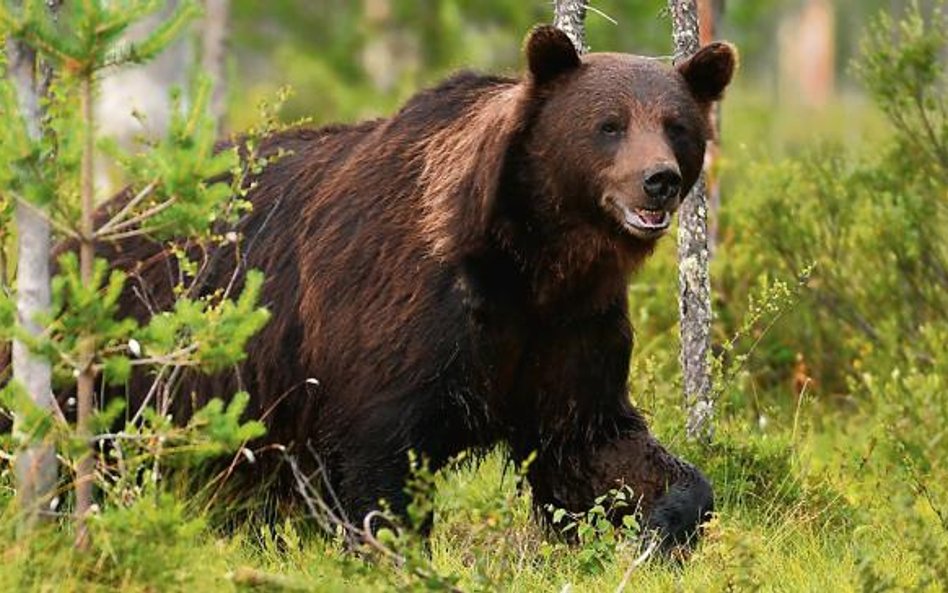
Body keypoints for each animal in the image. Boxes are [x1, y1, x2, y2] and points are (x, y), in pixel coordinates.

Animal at [92, 26, 736, 544]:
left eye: (677, 125)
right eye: (608, 124)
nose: (658, 180)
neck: (531, 259)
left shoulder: (571, 326)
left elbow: (595, 442)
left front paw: (661, 523)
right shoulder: (407, 319)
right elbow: (383, 460)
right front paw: (391, 550)